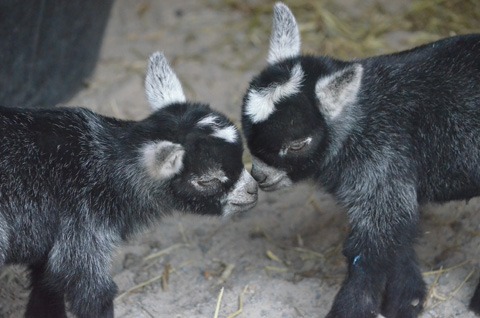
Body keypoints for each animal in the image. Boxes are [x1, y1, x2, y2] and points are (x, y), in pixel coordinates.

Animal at [0, 52, 258, 318]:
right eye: (207, 180)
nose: (253, 190)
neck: (103, 166)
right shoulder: (83, 231)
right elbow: (92, 290)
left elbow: (46, 286)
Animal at [242, 3, 480, 318]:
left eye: (297, 144)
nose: (260, 175)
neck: (361, 118)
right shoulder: (390, 187)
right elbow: (398, 241)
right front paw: (408, 301)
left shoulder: (380, 167)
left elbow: (369, 251)